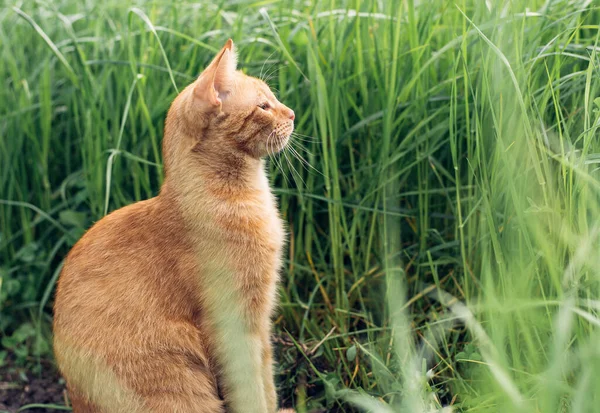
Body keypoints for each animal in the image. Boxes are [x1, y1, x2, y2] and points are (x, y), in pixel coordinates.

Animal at [53, 39, 296, 412]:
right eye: (264, 106)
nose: (293, 114)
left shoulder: (261, 324)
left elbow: (267, 382)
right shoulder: (234, 327)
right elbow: (250, 391)